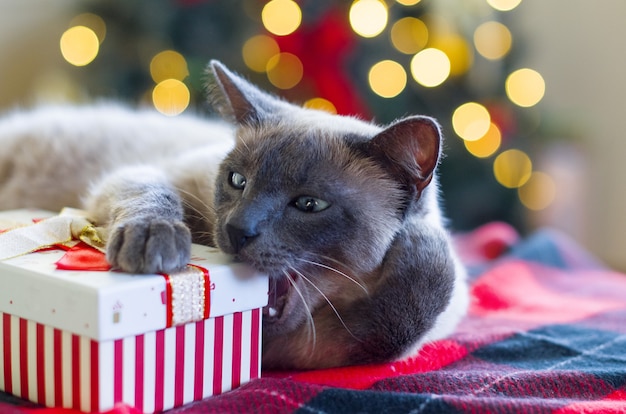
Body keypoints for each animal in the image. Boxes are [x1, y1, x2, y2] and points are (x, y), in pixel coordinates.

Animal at [0, 60, 466, 368]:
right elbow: (152, 197)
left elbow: (399, 323)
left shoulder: (312, 350)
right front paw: (156, 244)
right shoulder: (146, 174)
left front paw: (416, 244)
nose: (238, 230)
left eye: (309, 205)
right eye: (238, 181)